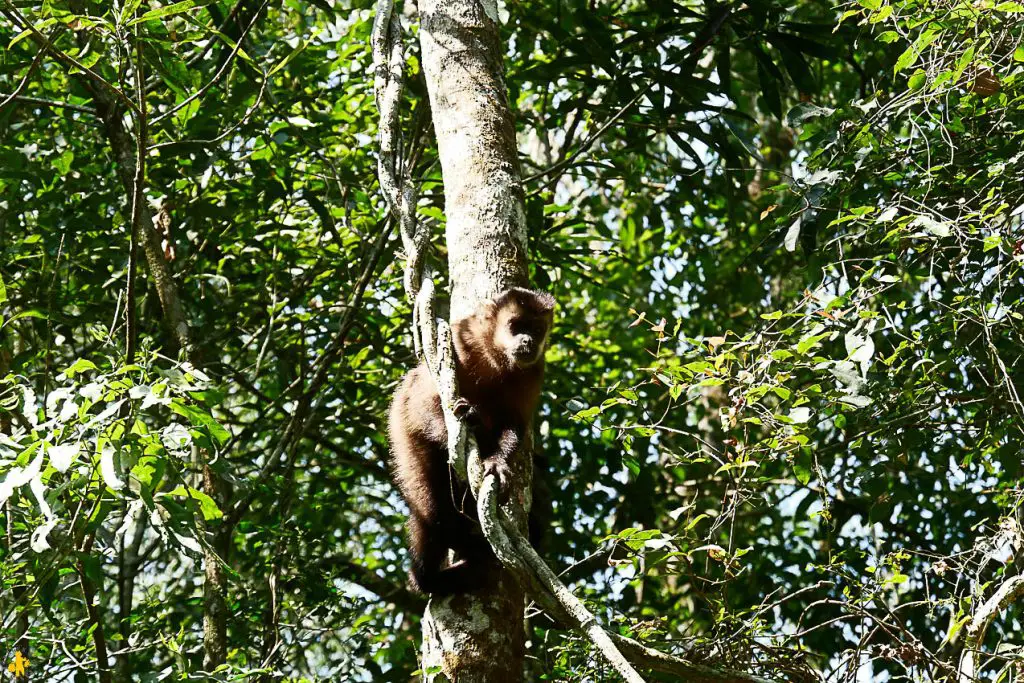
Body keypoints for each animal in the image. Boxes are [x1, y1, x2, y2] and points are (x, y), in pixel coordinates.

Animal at [387, 286, 557, 593]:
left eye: (537, 330)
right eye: (517, 326)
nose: (528, 340)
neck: (495, 353)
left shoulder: (534, 370)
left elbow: (513, 423)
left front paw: (497, 464)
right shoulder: (460, 339)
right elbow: (424, 400)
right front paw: (457, 437)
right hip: (402, 432)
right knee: (432, 508)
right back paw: (430, 575)